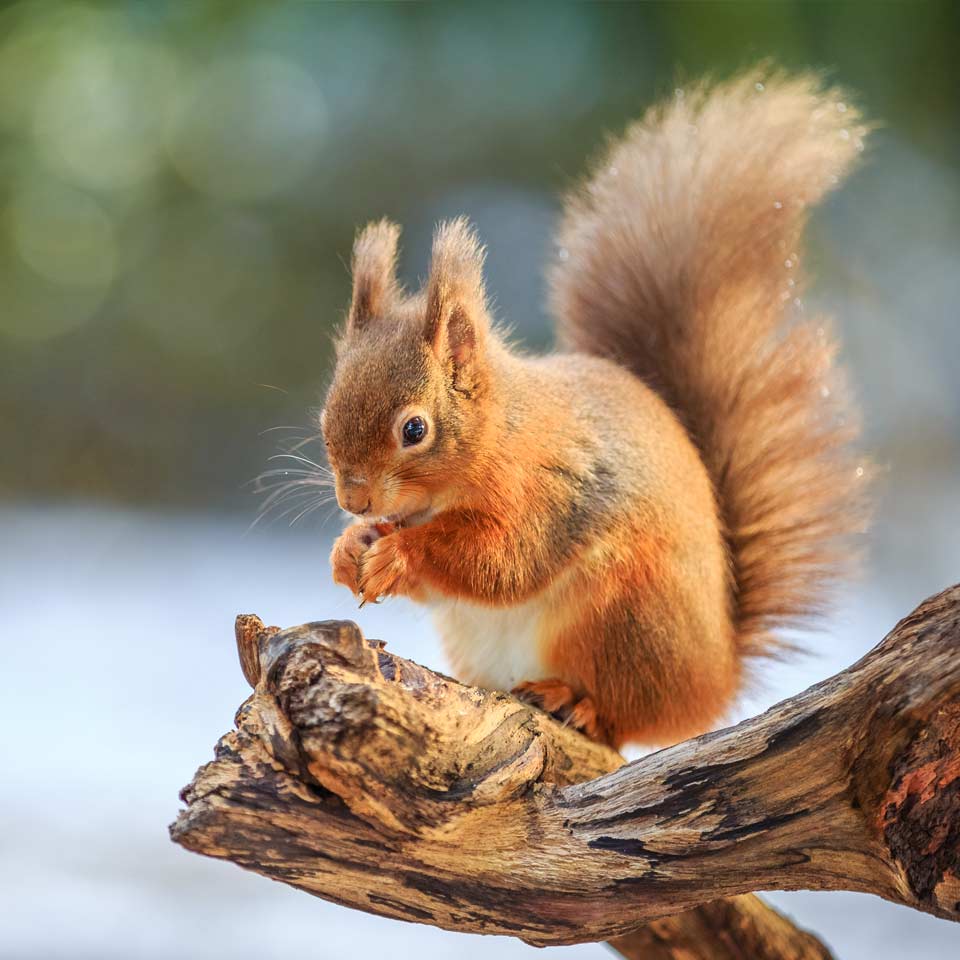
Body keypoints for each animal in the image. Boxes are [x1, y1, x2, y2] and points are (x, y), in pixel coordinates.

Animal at [316, 75, 872, 752]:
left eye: (414, 429)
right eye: (325, 415)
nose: (354, 500)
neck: (500, 434)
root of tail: (715, 681)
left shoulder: (550, 490)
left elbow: (501, 561)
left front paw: (400, 553)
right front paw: (350, 549)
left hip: (622, 619)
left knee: (620, 715)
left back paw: (573, 701)